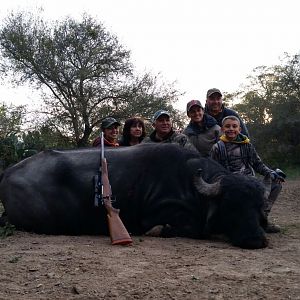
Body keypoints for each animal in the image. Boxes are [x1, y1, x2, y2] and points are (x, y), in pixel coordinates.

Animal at [0, 143, 268, 248]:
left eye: (257, 207)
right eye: (230, 206)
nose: (255, 239)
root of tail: (7, 173)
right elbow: (190, 228)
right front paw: (159, 230)